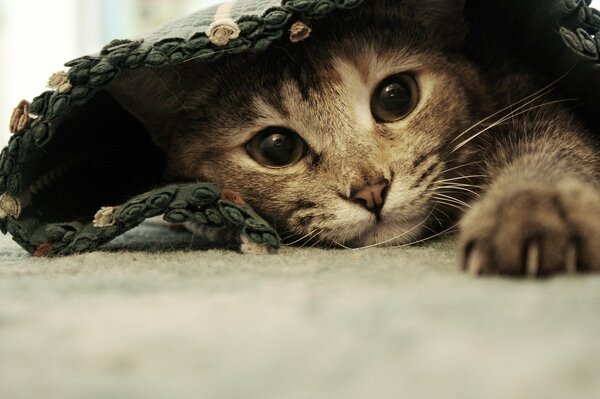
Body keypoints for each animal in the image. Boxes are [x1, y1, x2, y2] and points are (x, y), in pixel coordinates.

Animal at [108, 0, 600, 276]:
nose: (371, 191)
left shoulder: (524, 96)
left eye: (395, 97)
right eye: (276, 147)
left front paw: (534, 207)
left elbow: (548, 146)